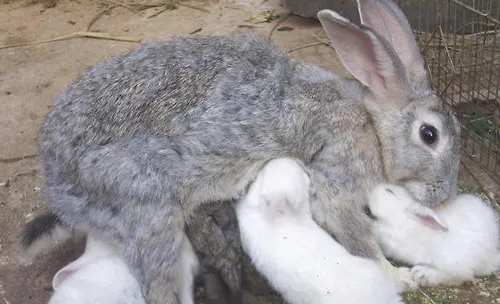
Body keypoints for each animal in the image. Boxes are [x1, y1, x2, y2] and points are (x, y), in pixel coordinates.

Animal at [370, 184, 500, 286]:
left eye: (389, 191)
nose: (373, 188)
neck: (405, 221)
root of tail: (491, 255)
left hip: (451, 260)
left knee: (459, 276)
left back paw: (422, 274)